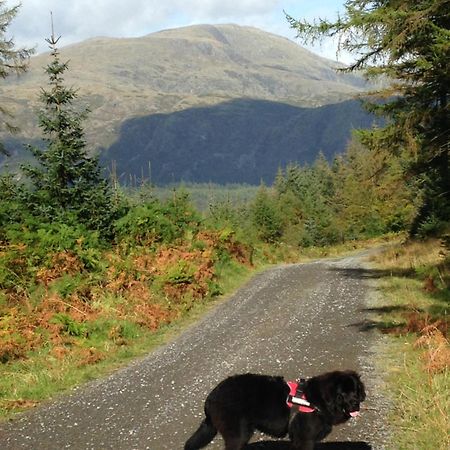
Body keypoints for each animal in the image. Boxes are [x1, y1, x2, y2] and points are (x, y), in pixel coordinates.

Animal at [185, 370, 364, 450]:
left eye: (355, 390)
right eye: (342, 394)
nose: (356, 404)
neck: (316, 400)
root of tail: (210, 397)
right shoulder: (305, 438)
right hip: (238, 433)